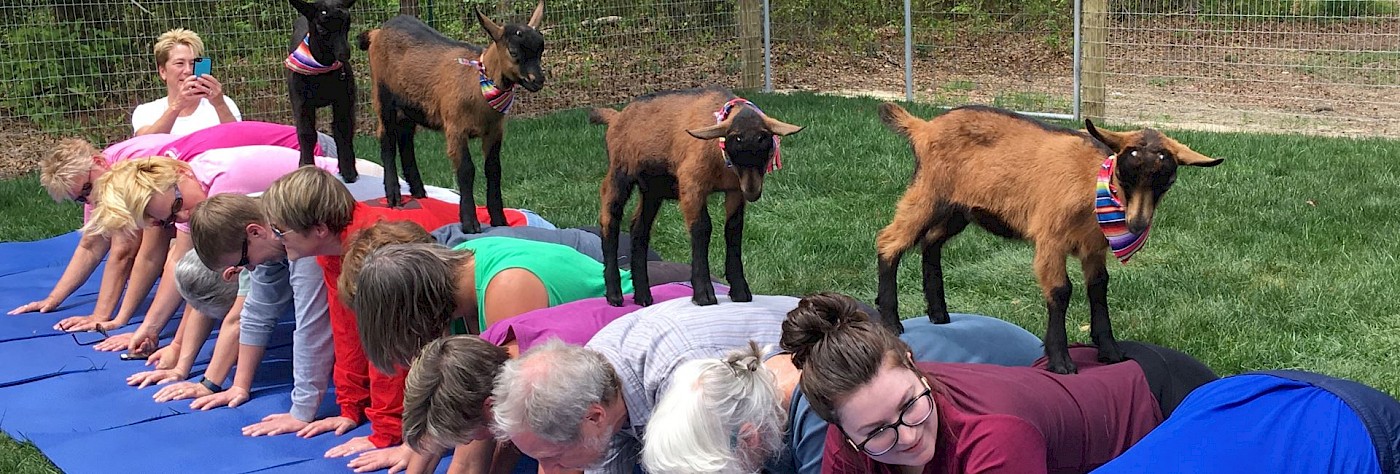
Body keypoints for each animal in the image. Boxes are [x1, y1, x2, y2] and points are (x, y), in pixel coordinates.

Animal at [285, 0, 358, 182]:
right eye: (321, 28)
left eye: (348, 24)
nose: (344, 54)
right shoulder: (301, 102)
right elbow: (306, 133)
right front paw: (305, 166)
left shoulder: (344, 99)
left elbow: (343, 129)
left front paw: (348, 171)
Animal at [357, 2, 545, 233]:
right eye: (513, 51)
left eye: (541, 49)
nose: (538, 80)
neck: (478, 85)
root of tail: (377, 32)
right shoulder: (456, 128)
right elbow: (466, 170)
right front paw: (470, 223)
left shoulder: (494, 131)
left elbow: (494, 170)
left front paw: (499, 220)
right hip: (382, 96)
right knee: (387, 140)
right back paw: (393, 195)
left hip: (409, 107)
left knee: (406, 141)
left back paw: (419, 192)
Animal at [590, 87, 804, 307]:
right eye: (735, 141)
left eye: (766, 143)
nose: (752, 192)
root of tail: (616, 116)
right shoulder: (691, 185)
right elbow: (702, 228)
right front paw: (704, 294)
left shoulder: (735, 191)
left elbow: (734, 230)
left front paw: (740, 290)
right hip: (619, 173)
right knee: (609, 221)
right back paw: (614, 295)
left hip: (652, 189)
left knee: (639, 229)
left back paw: (643, 295)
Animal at [874, 103, 1222, 374]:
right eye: (1124, 174)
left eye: (1168, 178)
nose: (1137, 223)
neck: (1091, 184)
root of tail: (923, 127)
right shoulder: (1050, 239)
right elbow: (1060, 291)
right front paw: (1061, 361)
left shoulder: (1093, 248)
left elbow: (1099, 287)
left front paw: (1110, 351)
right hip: (929, 192)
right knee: (890, 240)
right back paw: (891, 321)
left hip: (960, 209)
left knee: (931, 241)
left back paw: (939, 313)